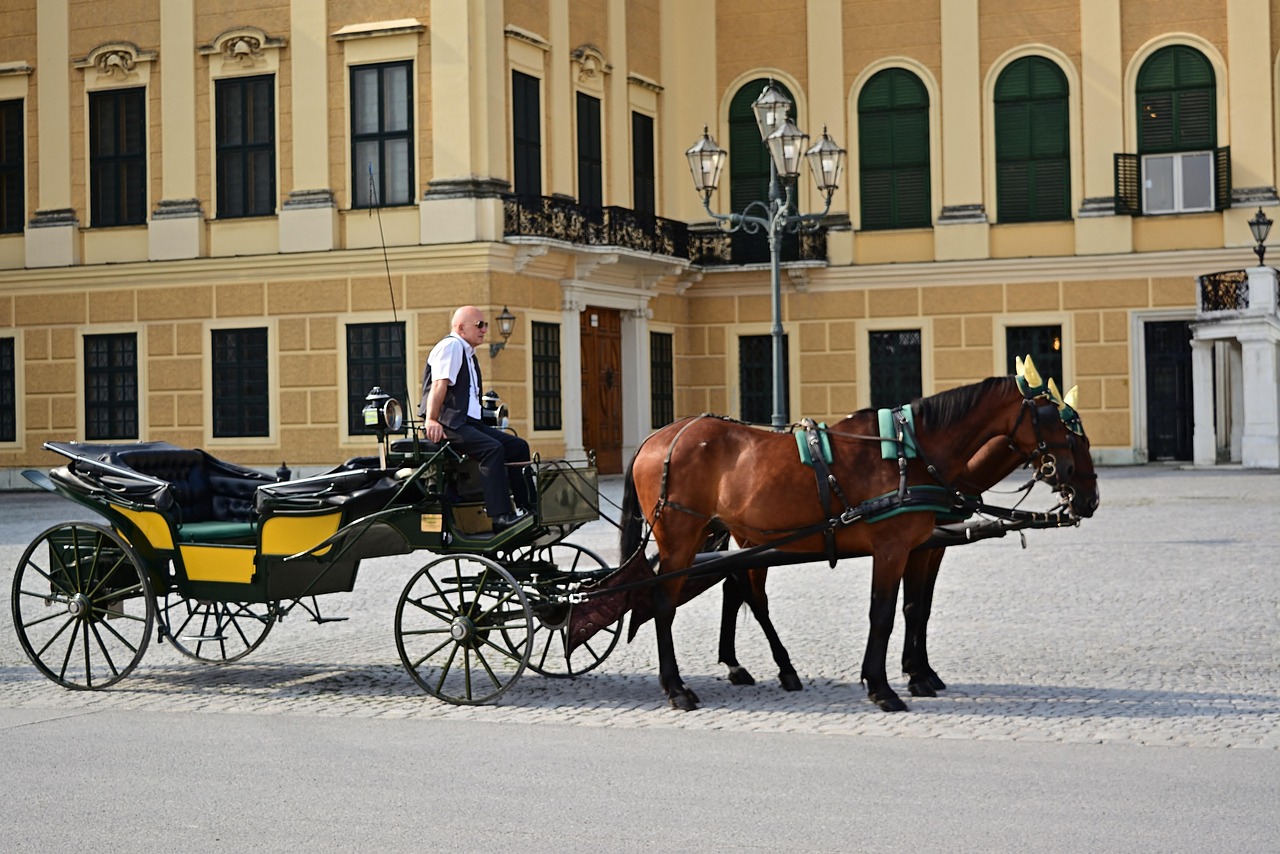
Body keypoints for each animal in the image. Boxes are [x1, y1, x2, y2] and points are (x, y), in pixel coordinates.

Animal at [619, 371, 1100, 711]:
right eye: (1060, 423)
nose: (1089, 496)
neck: (911, 455)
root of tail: (657, 438)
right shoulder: (893, 548)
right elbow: (883, 614)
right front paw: (883, 686)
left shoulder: (921, 546)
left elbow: (915, 608)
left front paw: (918, 675)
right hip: (682, 538)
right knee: (665, 602)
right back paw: (677, 687)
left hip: (728, 534)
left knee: (742, 593)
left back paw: (765, 668)